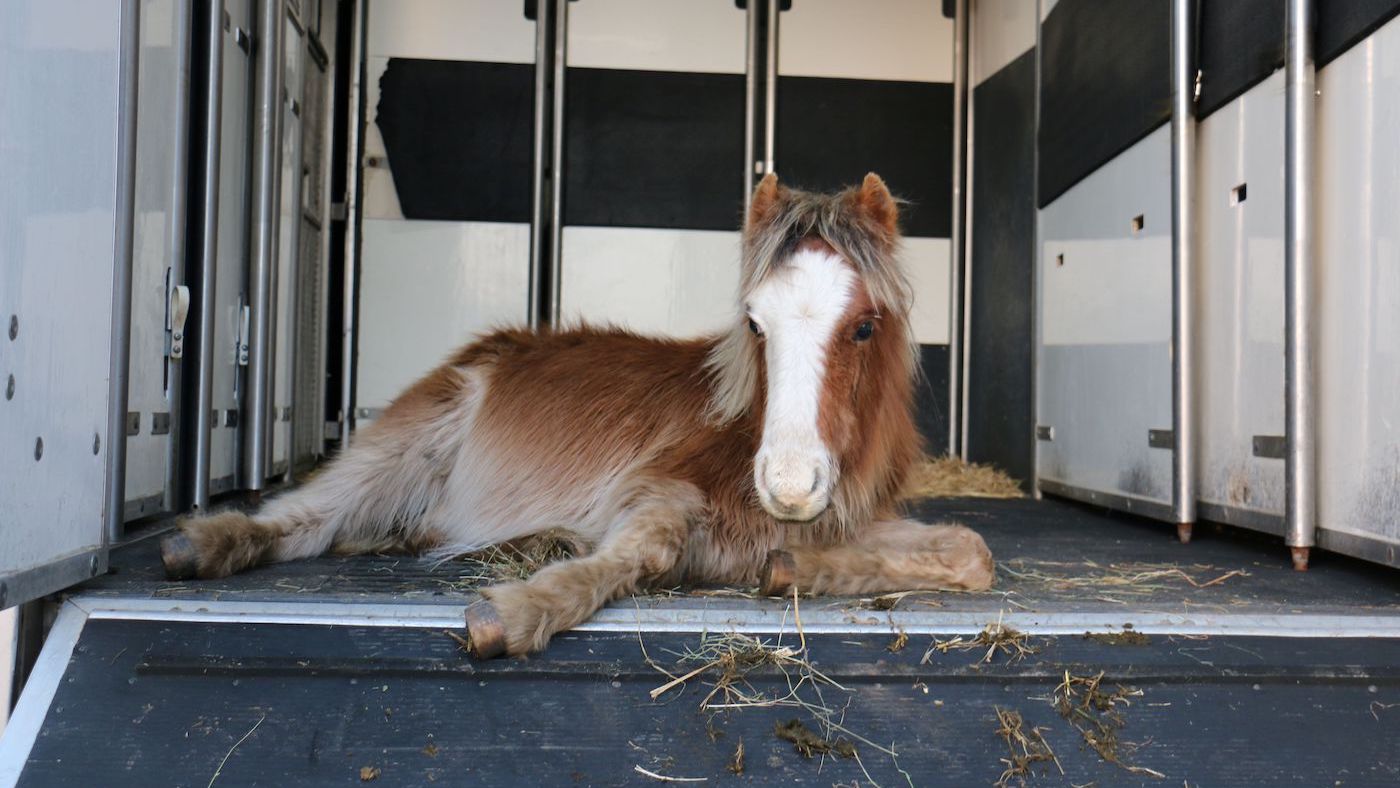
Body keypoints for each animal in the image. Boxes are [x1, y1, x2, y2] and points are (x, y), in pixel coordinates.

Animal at [160, 172, 995, 657]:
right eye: (756, 325)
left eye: (864, 327)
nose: (788, 487)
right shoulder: (655, 489)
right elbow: (645, 550)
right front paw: (521, 609)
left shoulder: (847, 520)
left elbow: (971, 551)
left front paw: (792, 567)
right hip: (409, 440)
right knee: (308, 515)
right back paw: (204, 543)